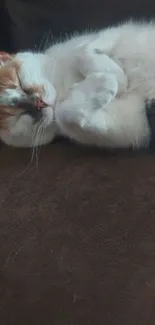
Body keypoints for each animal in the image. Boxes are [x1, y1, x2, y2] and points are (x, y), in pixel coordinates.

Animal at [0, 21, 155, 149]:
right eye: (17, 116)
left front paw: (118, 76)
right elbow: (63, 113)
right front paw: (106, 82)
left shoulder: (114, 33)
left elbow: (82, 51)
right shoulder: (131, 126)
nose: (38, 103)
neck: (61, 87)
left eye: (19, 83)